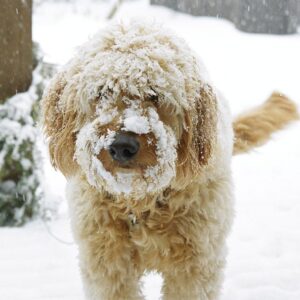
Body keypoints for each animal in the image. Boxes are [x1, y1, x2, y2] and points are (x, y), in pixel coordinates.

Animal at [41, 21, 298, 300]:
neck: (141, 202)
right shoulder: (107, 263)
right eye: (102, 91)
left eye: (155, 94)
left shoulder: (196, 264)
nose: (122, 146)